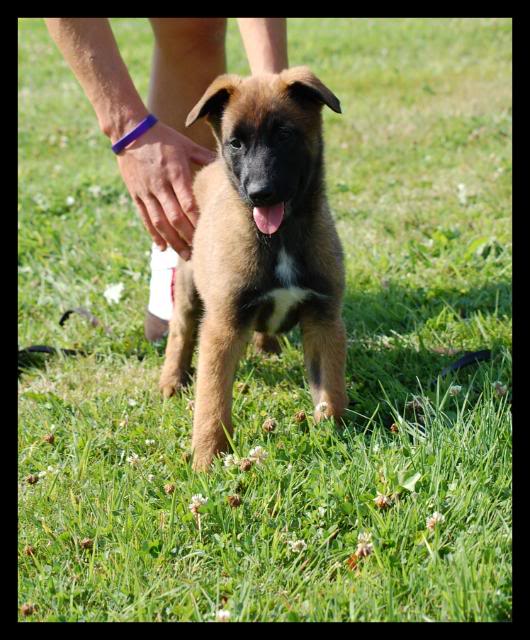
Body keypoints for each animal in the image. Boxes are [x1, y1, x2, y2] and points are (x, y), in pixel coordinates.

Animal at [157, 67, 346, 470]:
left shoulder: (324, 318)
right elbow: (213, 401)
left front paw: (337, 433)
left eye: (285, 135)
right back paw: (172, 380)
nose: (260, 193)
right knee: (180, 331)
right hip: (188, 285)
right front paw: (207, 459)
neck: (281, 239)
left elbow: (331, 390)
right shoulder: (223, 327)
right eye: (236, 143)